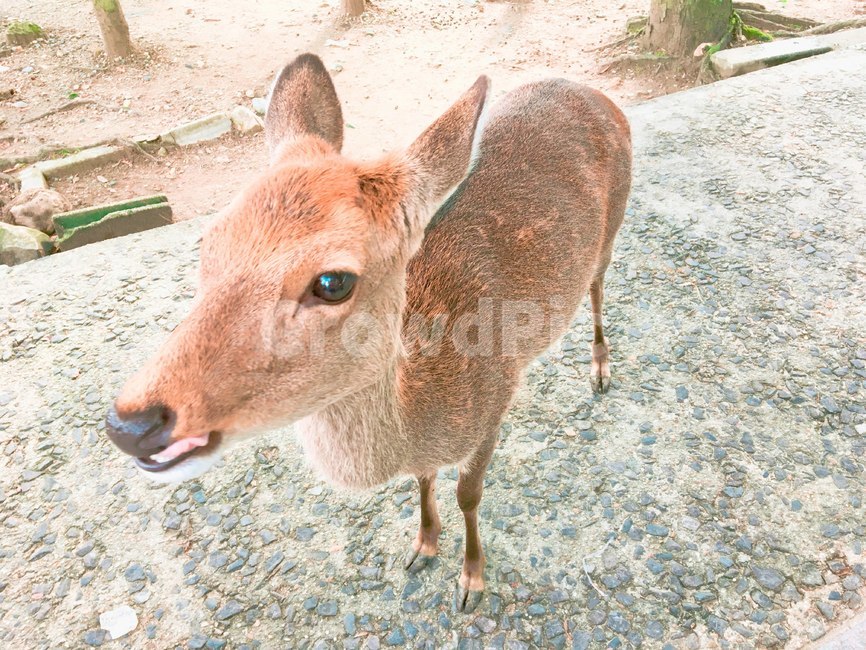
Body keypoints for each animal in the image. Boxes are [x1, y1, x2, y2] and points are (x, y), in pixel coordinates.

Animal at [105, 53, 632, 613]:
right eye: (207, 243)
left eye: (333, 281)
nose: (130, 424)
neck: (429, 400)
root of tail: (598, 95)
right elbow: (424, 479)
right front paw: (422, 545)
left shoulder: (496, 400)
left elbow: (469, 493)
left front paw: (471, 580)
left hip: (613, 226)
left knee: (598, 284)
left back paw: (600, 369)